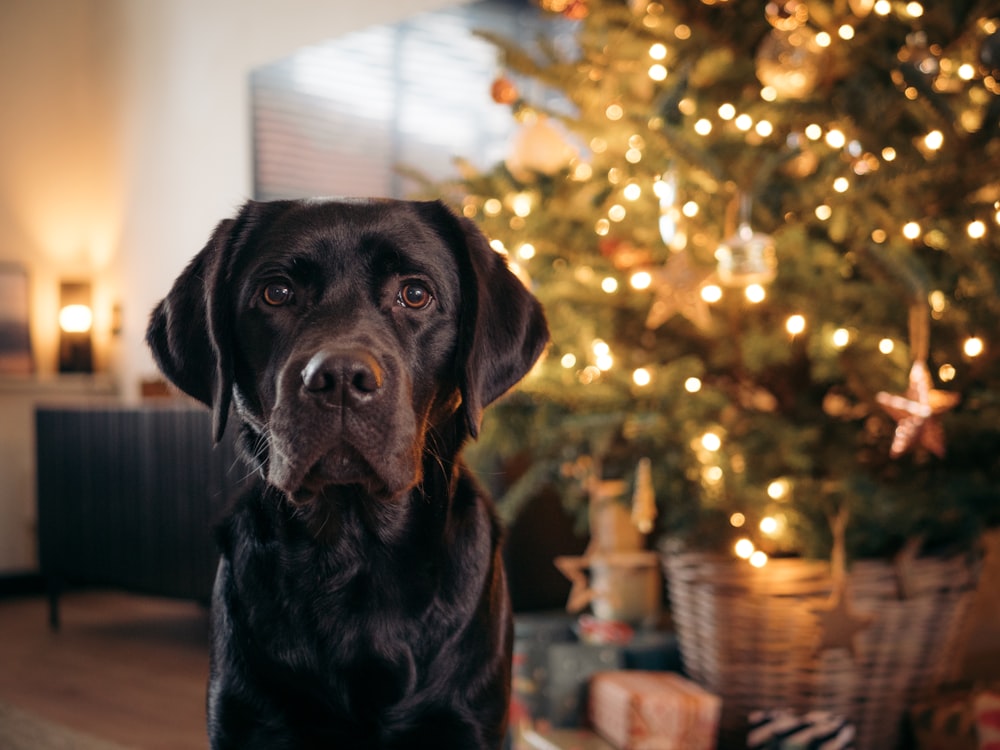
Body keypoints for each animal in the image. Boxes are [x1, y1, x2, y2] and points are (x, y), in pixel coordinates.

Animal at [146, 200, 548, 750]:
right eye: (277, 293)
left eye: (415, 294)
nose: (338, 377)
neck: (354, 555)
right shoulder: (247, 718)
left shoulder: (466, 722)